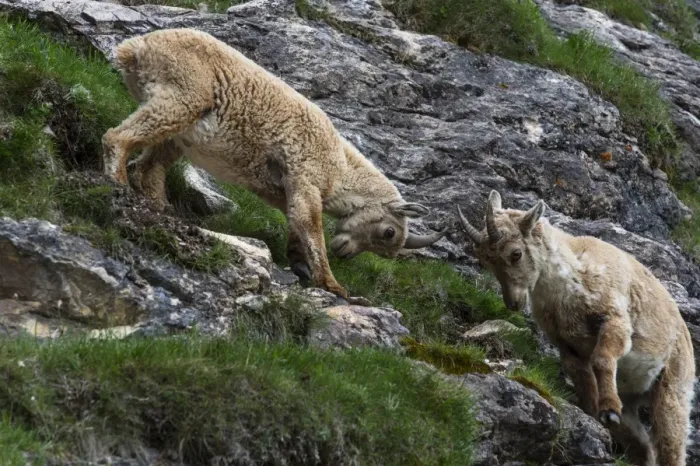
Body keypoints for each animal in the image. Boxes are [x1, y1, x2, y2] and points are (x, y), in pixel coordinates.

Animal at [101, 28, 446, 304]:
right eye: (389, 232)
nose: (343, 252)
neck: (340, 167)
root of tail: (136, 47)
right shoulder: (305, 173)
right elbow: (310, 224)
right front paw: (333, 285)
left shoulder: (281, 189)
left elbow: (296, 224)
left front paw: (301, 267)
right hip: (183, 97)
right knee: (117, 138)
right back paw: (118, 182)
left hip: (179, 132)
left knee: (150, 167)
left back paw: (161, 207)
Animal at [458, 190, 696, 466]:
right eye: (485, 260)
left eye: (516, 253)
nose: (513, 303)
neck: (568, 285)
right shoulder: (567, 345)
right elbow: (583, 382)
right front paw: (597, 418)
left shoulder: (615, 321)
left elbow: (602, 358)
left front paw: (609, 410)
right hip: (632, 400)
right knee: (644, 448)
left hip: (672, 387)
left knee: (670, 445)